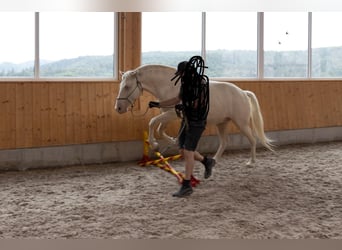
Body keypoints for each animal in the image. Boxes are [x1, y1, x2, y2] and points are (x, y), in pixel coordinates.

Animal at [116, 64, 274, 164]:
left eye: (127, 86)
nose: (118, 108)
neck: (169, 86)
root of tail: (242, 92)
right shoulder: (168, 115)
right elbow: (160, 129)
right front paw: (171, 141)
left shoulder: (172, 114)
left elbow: (152, 122)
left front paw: (154, 145)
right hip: (222, 123)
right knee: (224, 142)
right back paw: (214, 160)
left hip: (241, 123)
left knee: (252, 139)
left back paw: (251, 162)